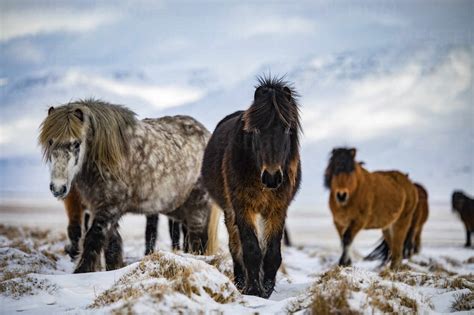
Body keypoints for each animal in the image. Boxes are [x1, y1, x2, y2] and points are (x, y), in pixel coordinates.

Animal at [202, 76, 302, 298]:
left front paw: (267, 288)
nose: (272, 178)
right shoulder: (242, 207)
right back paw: (240, 282)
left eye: (286, 129)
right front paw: (254, 289)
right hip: (230, 211)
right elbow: (251, 249)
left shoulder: (277, 210)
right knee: (235, 247)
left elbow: (271, 253)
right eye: (256, 130)